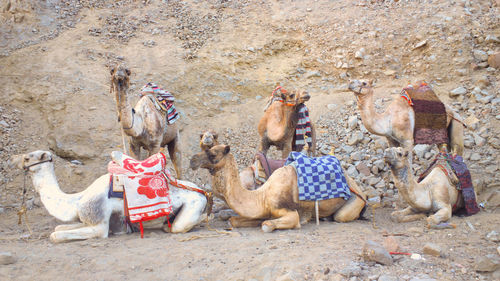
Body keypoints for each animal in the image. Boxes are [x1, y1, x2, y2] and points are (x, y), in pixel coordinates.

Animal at [10, 150, 208, 242]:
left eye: (28, 157)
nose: (12, 159)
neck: (77, 200)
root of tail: (204, 193)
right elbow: (59, 228)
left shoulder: (99, 224)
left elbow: (55, 235)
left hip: (194, 204)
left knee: (180, 226)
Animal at [189, 143, 366, 231]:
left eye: (213, 154)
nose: (192, 160)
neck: (261, 196)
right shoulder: (261, 211)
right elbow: (233, 220)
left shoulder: (288, 211)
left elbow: (268, 225)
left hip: (355, 201)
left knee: (340, 216)